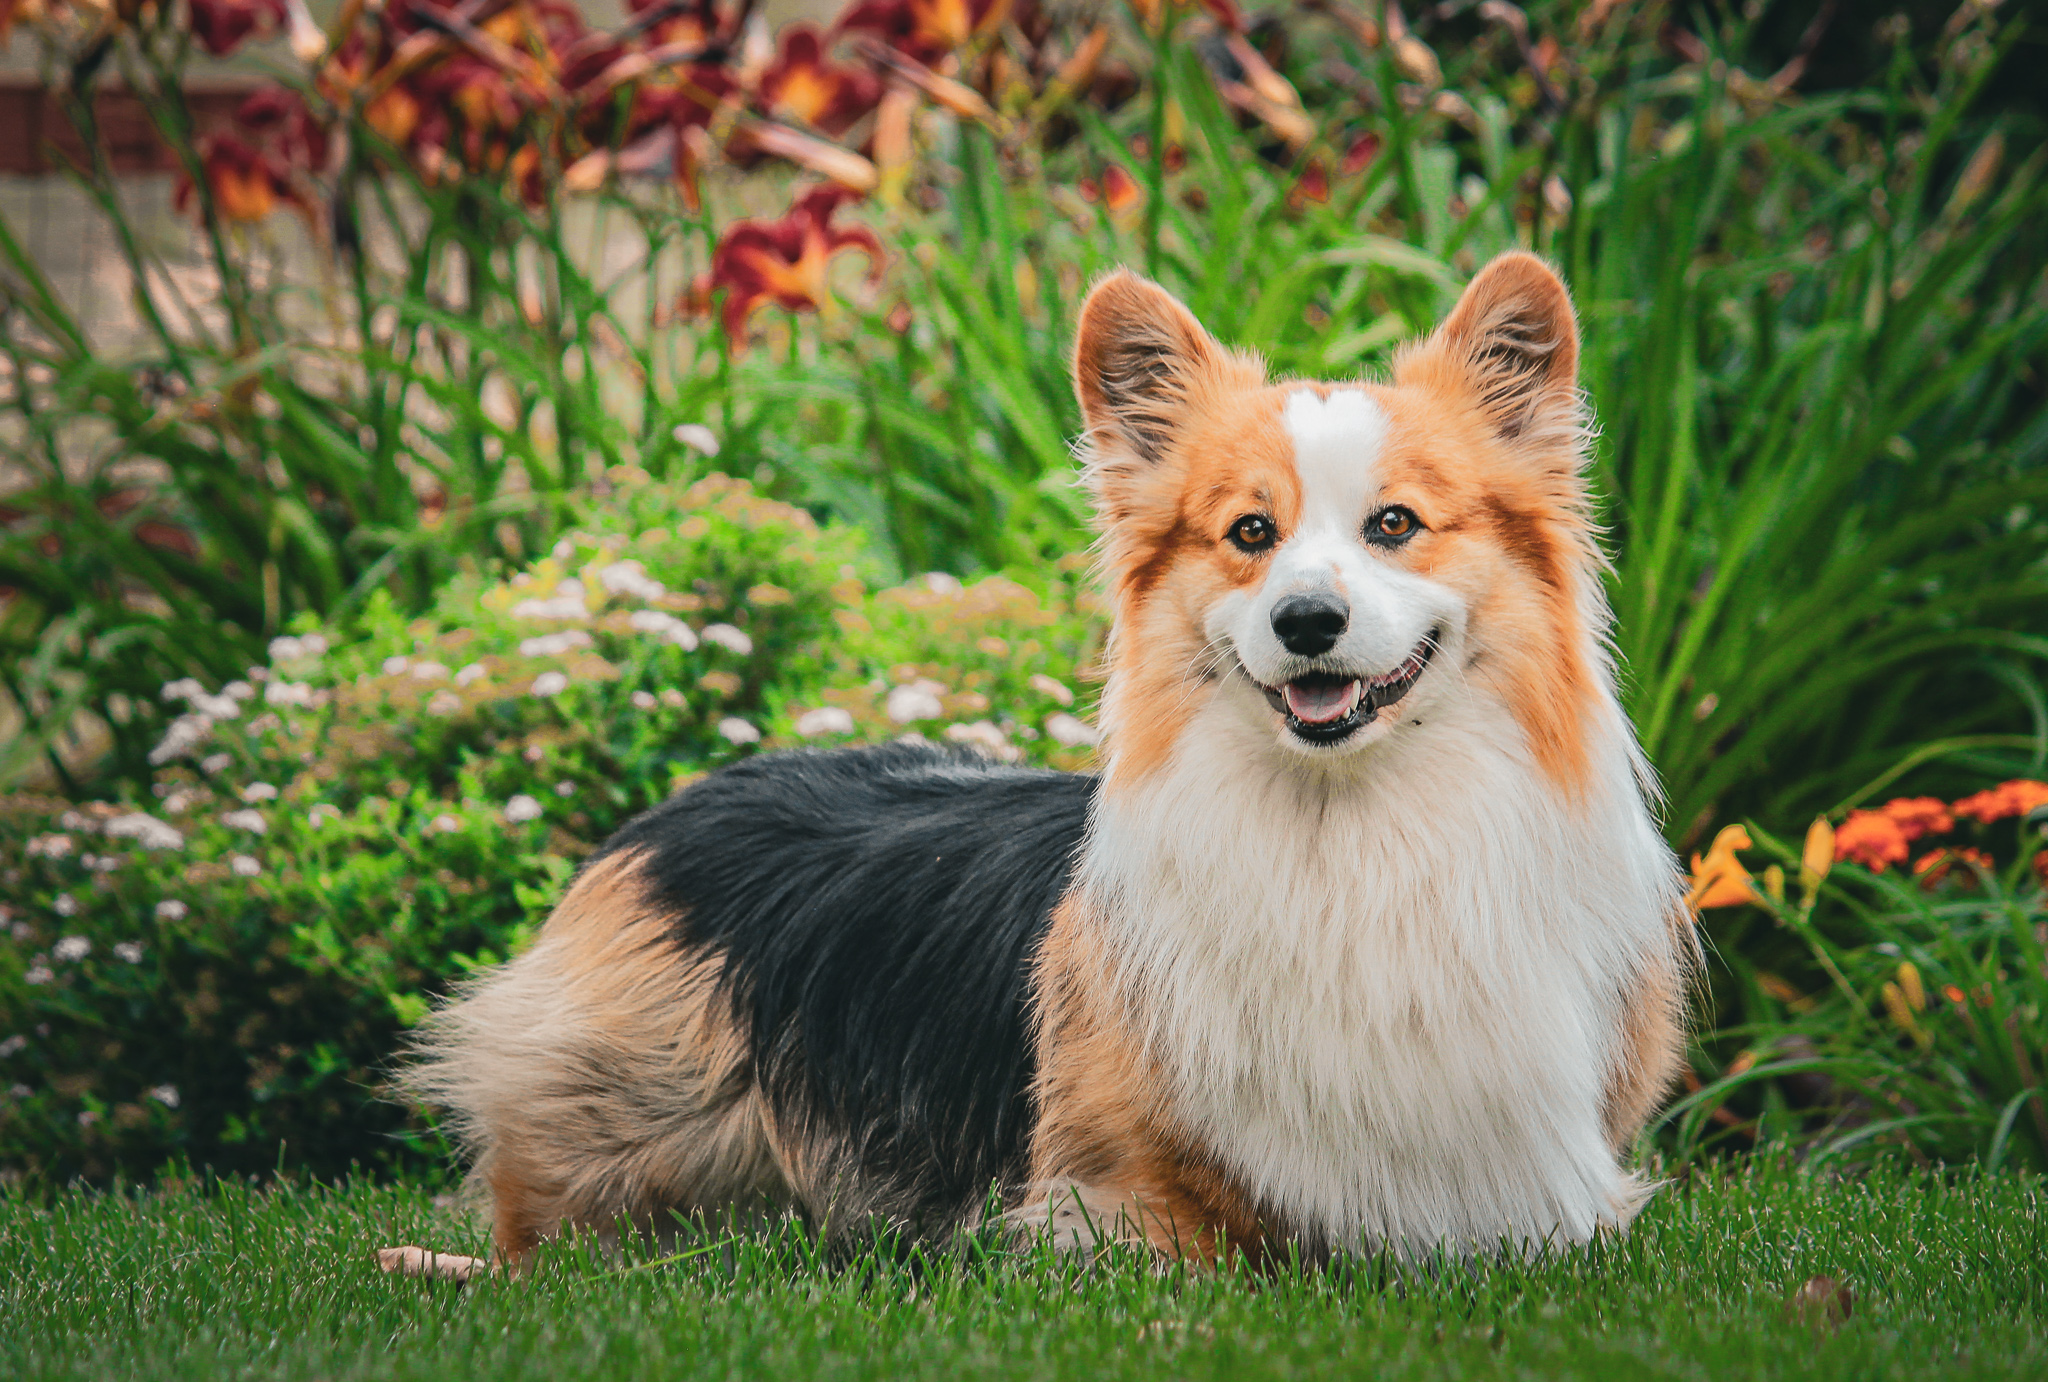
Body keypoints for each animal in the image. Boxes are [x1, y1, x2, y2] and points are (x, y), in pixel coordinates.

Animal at [403, 248, 1695, 1261]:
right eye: (1248, 531)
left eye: (1394, 524)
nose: (1305, 622)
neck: (1350, 823)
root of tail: (674, 809)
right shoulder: (1112, 1196)